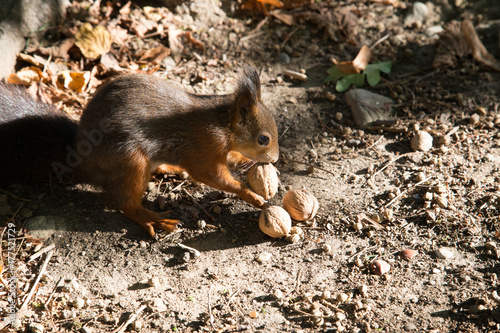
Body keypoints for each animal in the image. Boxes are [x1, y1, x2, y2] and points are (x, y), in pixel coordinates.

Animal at [0, 66, 280, 236]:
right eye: (263, 139)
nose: (276, 158)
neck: (223, 123)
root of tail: (82, 163)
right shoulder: (205, 146)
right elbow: (212, 176)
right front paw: (251, 195)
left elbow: (230, 159)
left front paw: (244, 162)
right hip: (130, 162)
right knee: (124, 204)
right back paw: (152, 219)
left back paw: (168, 169)